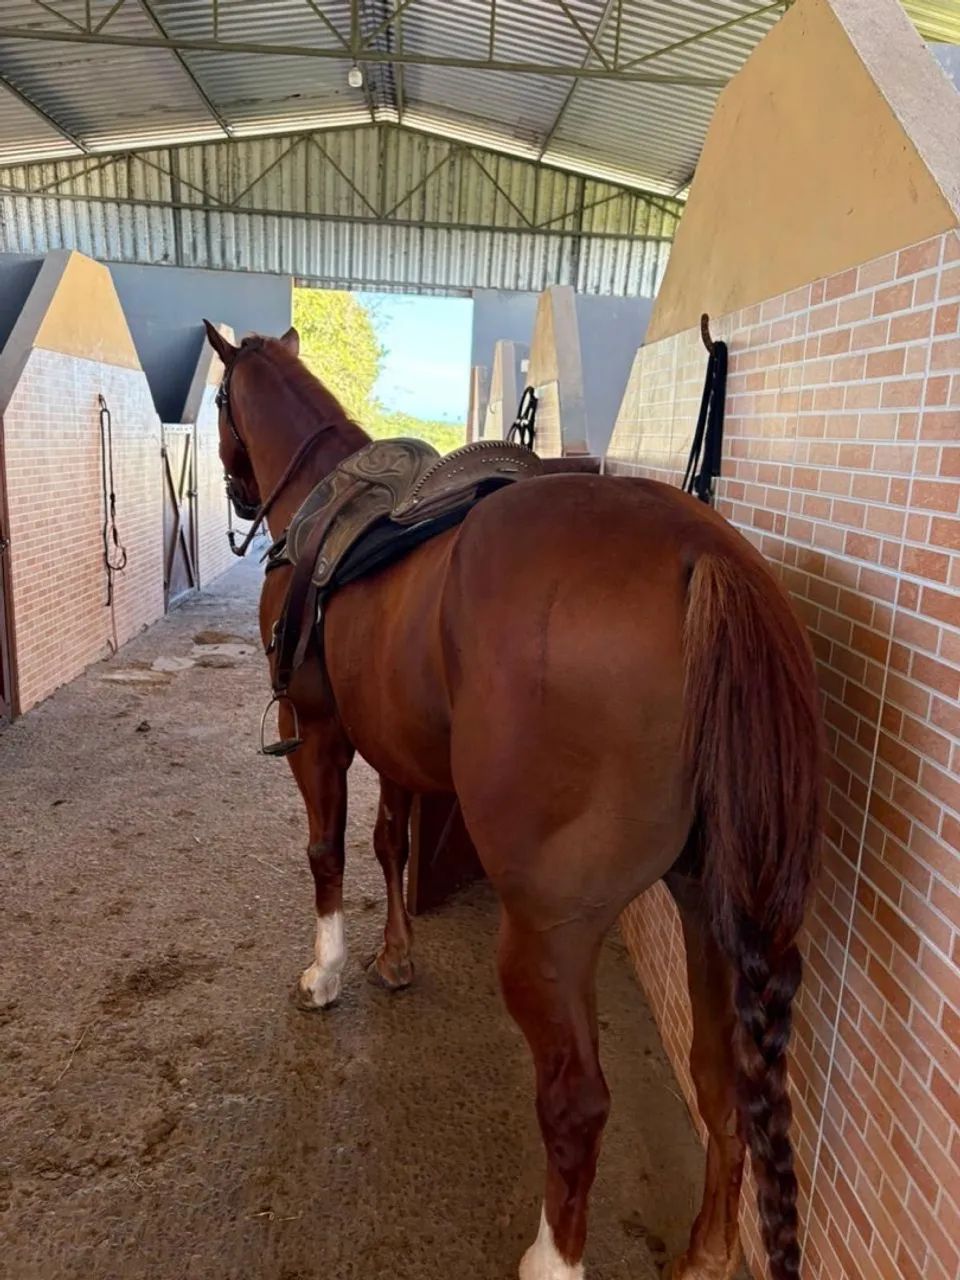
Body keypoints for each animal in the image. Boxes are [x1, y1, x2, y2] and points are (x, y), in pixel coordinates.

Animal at [202, 321, 823, 1280]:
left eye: (220, 402)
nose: (233, 490)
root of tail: (705, 555)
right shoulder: (396, 750)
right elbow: (389, 844)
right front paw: (395, 957)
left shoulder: (321, 737)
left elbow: (328, 853)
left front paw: (326, 972)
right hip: (710, 908)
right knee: (721, 1086)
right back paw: (706, 1254)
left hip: (549, 930)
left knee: (577, 1101)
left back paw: (551, 1257)